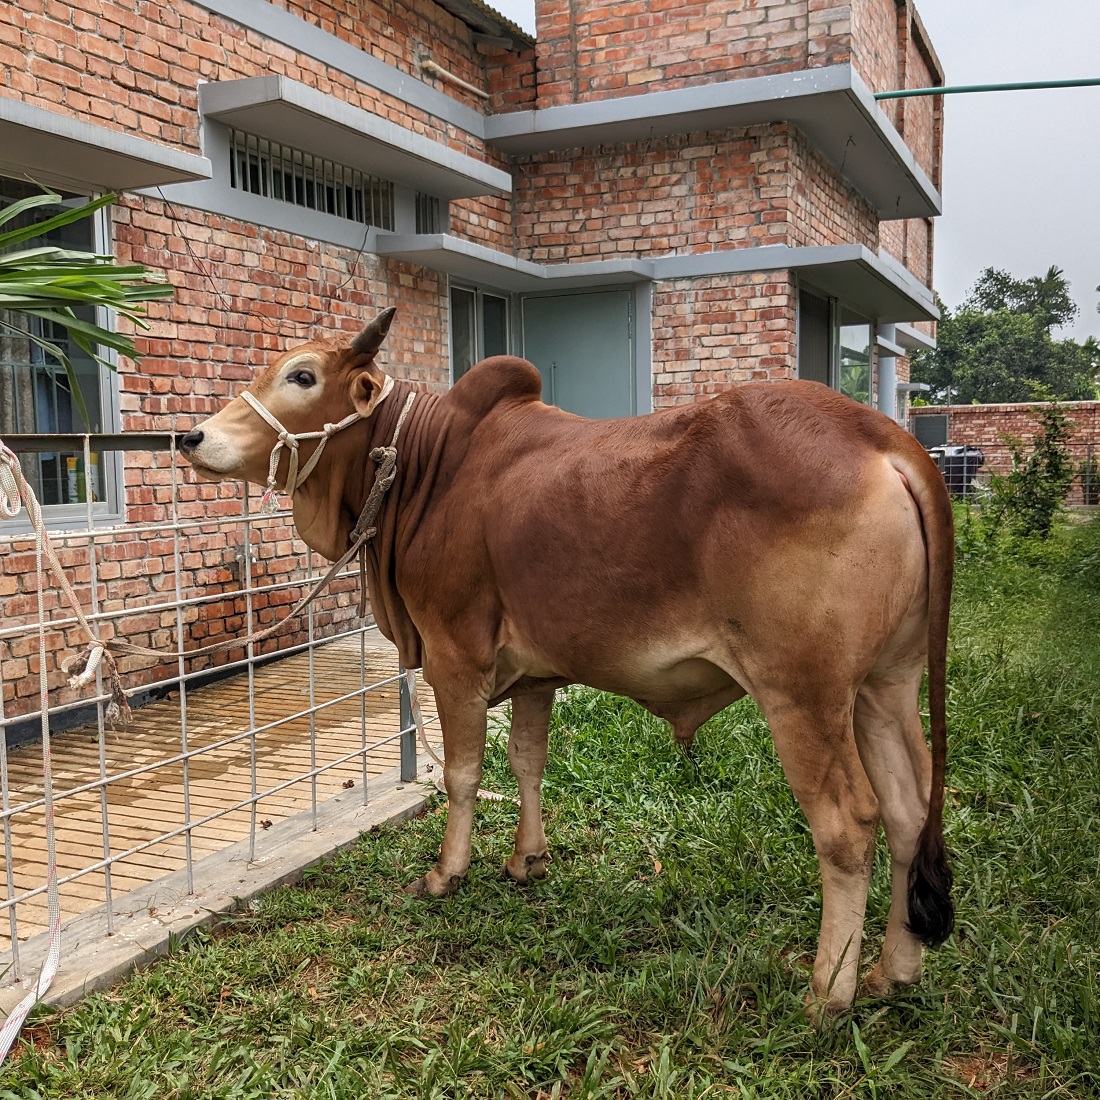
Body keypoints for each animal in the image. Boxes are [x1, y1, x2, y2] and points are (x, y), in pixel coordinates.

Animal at [182, 308, 954, 1012]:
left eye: (302, 376)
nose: (193, 436)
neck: (426, 467)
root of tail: (883, 439)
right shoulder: (535, 673)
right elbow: (527, 760)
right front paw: (527, 858)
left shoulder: (455, 661)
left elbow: (463, 774)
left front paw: (446, 873)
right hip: (884, 684)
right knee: (909, 808)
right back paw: (893, 971)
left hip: (803, 694)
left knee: (849, 825)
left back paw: (828, 991)